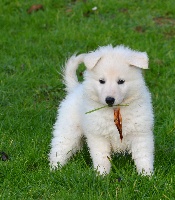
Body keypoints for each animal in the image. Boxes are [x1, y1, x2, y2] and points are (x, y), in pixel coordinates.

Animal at [48, 45, 154, 175]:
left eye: (121, 81)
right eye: (102, 81)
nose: (109, 100)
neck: (115, 111)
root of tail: (75, 88)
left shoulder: (141, 133)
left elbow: (143, 156)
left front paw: (146, 175)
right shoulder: (98, 135)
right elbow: (102, 157)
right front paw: (102, 175)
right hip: (68, 128)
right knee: (60, 148)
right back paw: (54, 169)